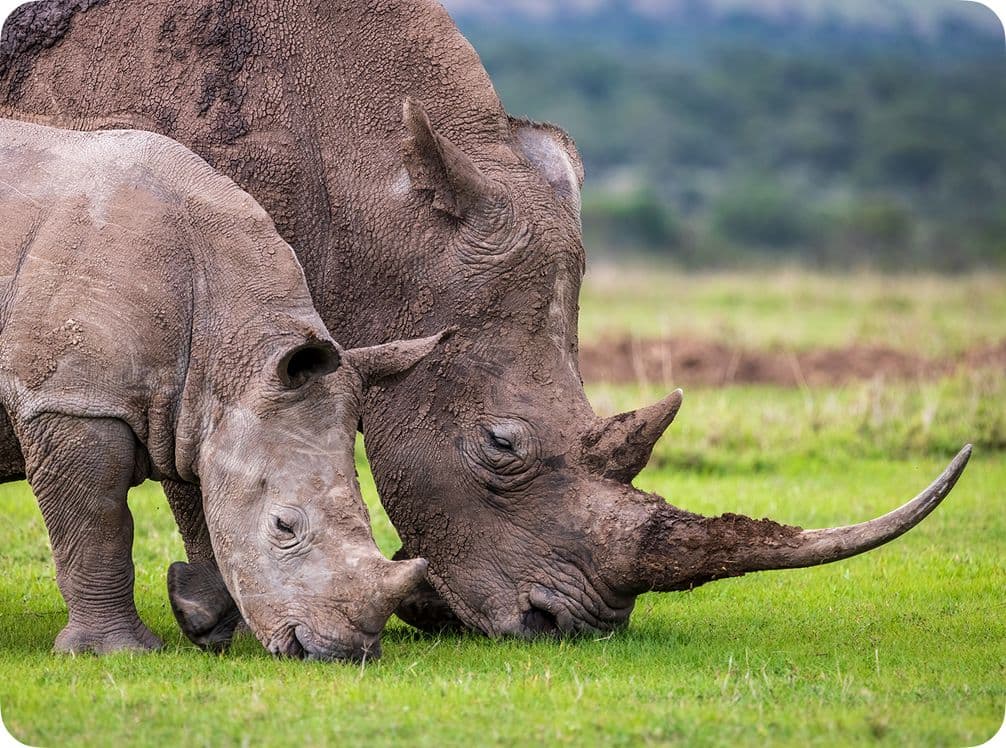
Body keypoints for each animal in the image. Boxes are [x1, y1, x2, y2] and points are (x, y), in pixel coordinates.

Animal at [0, 117, 435, 659]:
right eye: (283, 527)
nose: (347, 651)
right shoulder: (72, 401)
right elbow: (98, 526)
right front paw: (117, 652)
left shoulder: (201, 407)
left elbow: (209, 511)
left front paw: (201, 619)